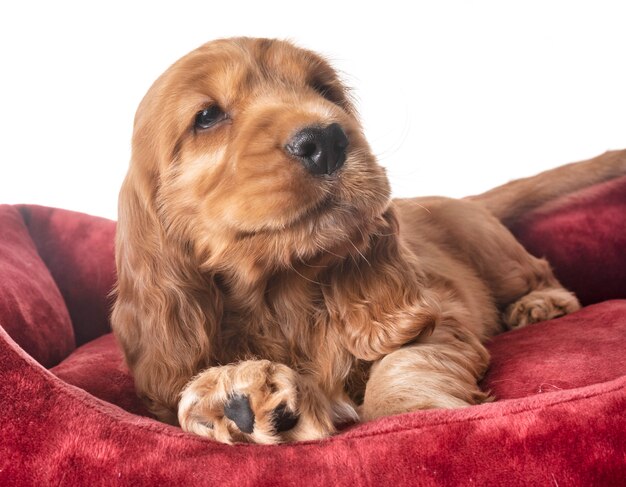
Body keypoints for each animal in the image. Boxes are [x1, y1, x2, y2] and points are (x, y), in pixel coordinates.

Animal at [112, 36, 624, 444]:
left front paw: (416, 417)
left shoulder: (440, 318)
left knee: (537, 270)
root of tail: (464, 196)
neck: (282, 298)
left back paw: (540, 303)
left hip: (491, 248)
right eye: (207, 117)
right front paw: (238, 397)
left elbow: (405, 364)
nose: (326, 141)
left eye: (324, 90)